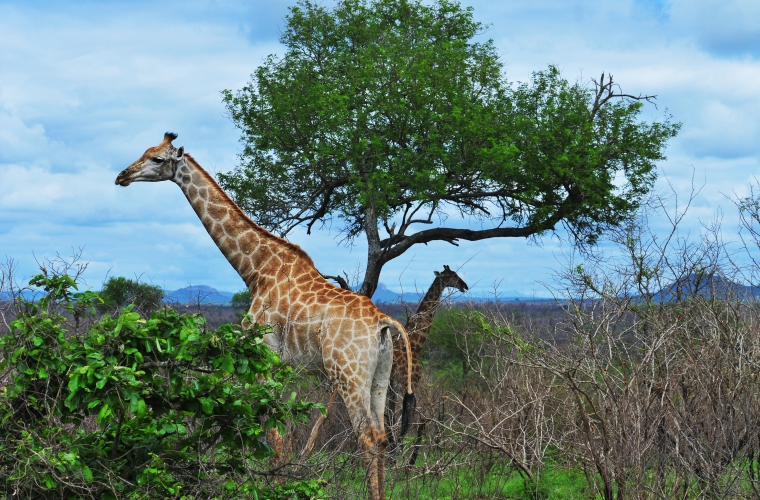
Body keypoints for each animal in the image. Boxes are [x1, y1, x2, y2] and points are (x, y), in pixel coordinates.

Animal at [114, 133, 416, 500]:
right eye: (145, 152)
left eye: (157, 159)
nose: (122, 176)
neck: (255, 270)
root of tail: (384, 323)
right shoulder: (285, 366)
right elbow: (282, 433)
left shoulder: (265, 357)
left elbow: (273, 435)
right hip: (379, 376)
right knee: (383, 438)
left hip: (348, 373)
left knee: (368, 437)